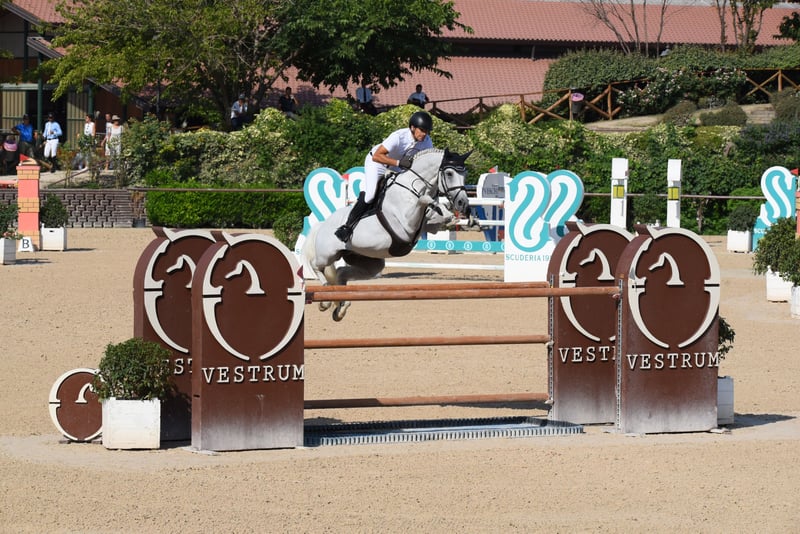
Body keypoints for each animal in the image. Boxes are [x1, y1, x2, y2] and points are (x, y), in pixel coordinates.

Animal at [303, 147, 471, 320]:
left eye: (465, 173)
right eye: (449, 173)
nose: (463, 203)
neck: (412, 186)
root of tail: (323, 224)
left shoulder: (427, 226)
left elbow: (437, 218)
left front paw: (457, 219)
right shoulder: (405, 225)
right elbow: (424, 200)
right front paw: (438, 206)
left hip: (368, 262)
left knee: (341, 273)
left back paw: (341, 307)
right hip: (328, 254)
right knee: (315, 265)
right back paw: (325, 300)